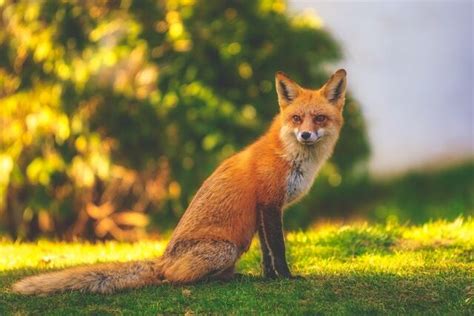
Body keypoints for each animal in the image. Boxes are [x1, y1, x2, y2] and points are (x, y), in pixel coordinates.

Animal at [10, 68, 344, 294]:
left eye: (320, 119)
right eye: (297, 119)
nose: (306, 135)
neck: (290, 156)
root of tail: (162, 260)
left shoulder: (264, 208)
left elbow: (267, 254)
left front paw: (270, 278)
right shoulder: (270, 204)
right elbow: (279, 249)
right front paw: (286, 278)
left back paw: (232, 277)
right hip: (226, 249)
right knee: (171, 279)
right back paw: (213, 281)